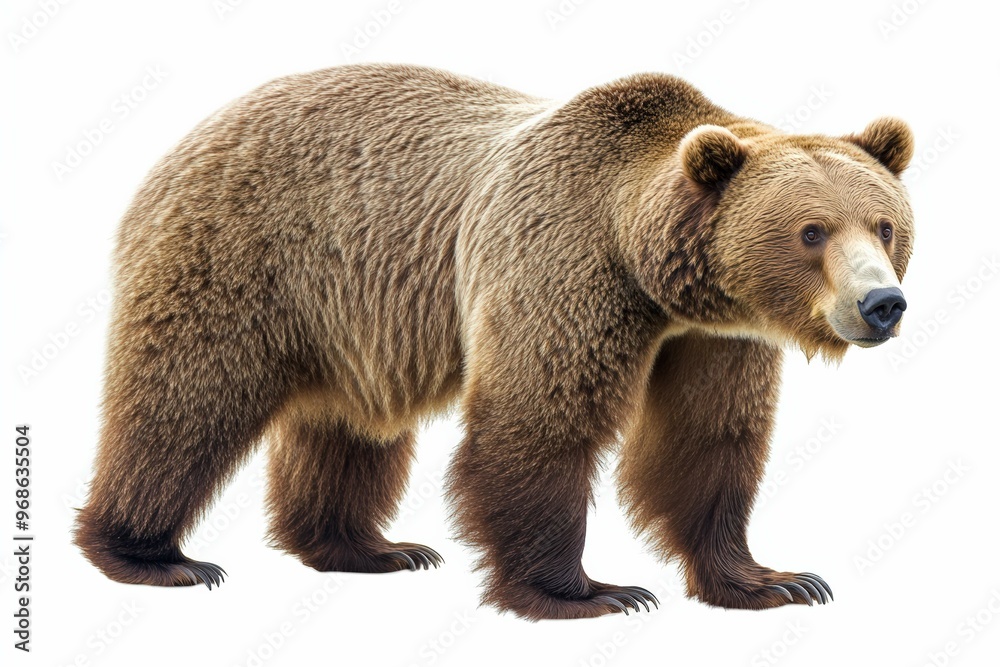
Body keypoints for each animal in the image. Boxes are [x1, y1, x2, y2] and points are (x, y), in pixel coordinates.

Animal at [75, 64, 914, 620]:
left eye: (884, 224)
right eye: (812, 231)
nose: (882, 303)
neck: (650, 271)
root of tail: (191, 135)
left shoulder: (716, 337)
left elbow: (707, 441)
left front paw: (774, 580)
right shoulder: (559, 264)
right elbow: (539, 421)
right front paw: (589, 590)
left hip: (344, 315)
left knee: (346, 428)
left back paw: (369, 547)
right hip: (240, 259)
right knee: (184, 400)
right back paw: (153, 556)